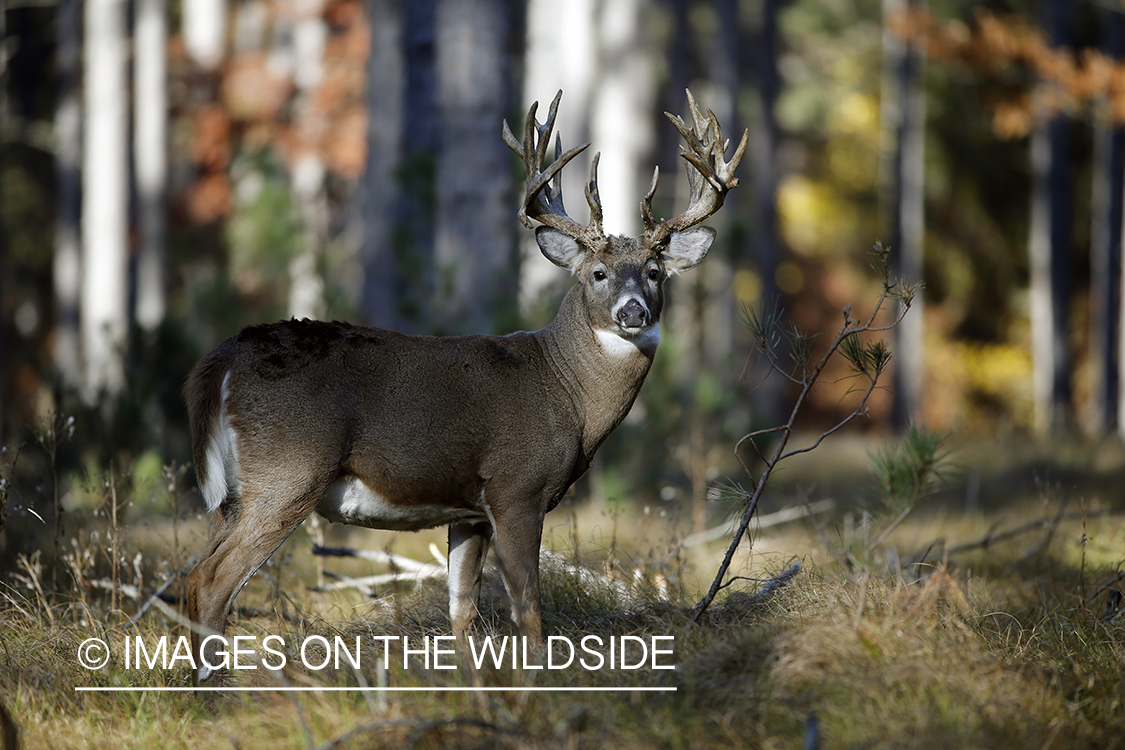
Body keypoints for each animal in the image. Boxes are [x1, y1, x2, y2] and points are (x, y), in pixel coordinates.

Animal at [184, 91, 747, 683]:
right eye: (597, 273)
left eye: (656, 271)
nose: (633, 311)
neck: (567, 393)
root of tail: (220, 360)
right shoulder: (516, 487)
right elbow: (528, 605)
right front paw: (536, 679)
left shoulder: (468, 509)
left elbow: (463, 609)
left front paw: (468, 682)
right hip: (288, 470)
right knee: (212, 581)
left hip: (233, 493)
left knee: (194, 576)